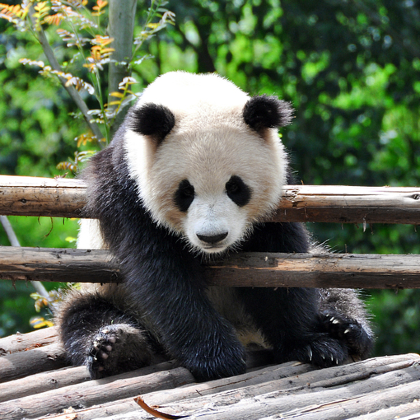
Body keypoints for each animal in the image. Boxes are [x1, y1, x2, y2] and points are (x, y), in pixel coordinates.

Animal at [55, 71, 370, 380]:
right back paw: (117, 347)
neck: (190, 91)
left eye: (235, 187)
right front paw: (217, 358)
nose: (212, 236)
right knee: (82, 315)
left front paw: (312, 344)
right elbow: (162, 273)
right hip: (107, 292)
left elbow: (283, 264)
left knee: (330, 282)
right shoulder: (128, 191)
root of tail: (247, 335)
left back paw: (345, 326)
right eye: (185, 192)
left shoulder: (279, 190)